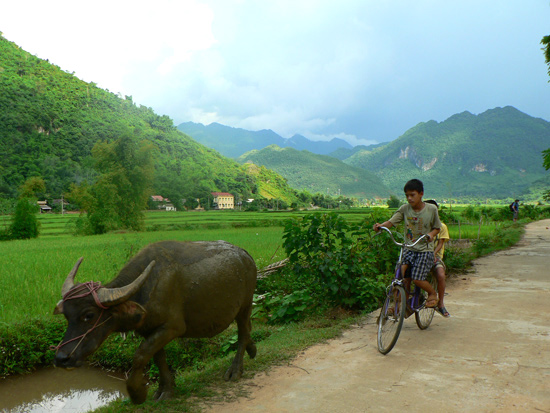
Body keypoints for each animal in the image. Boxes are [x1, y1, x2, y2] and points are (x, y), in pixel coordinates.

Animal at [52, 240, 258, 404]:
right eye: (67, 316)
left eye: (89, 315)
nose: (62, 358)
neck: (145, 290)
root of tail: (246, 255)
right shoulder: (149, 330)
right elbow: (158, 359)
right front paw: (165, 390)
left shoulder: (172, 328)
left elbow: (140, 355)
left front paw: (138, 393)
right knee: (247, 330)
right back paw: (252, 349)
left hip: (245, 306)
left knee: (243, 331)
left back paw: (235, 370)